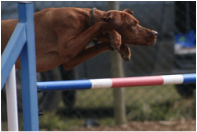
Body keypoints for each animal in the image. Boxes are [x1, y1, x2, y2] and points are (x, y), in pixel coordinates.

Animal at [0, 7, 157, 72]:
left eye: (137, 22)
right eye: (133, 24)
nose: (155, 33)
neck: (87, 18)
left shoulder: (69, 62)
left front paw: (122, 48)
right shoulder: (67, 49)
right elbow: (101, 24)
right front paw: (116, 37)